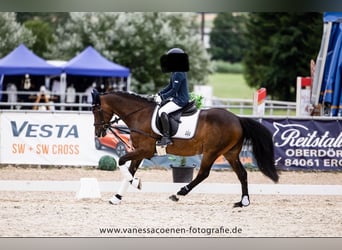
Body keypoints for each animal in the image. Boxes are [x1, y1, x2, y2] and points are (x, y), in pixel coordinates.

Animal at [92, 90, 280, 207]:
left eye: (96, 110)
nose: (98, 133)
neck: (139, 114)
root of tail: (238, 119)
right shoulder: (138, 152)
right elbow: (128, 172)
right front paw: (117, 198)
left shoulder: (145, 150)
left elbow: (121, 162)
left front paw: (137, 183)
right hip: (230, 153)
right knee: (242, 174)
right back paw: (243, 202)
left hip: (212, 152)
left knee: (203, 174)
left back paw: (178, 193)